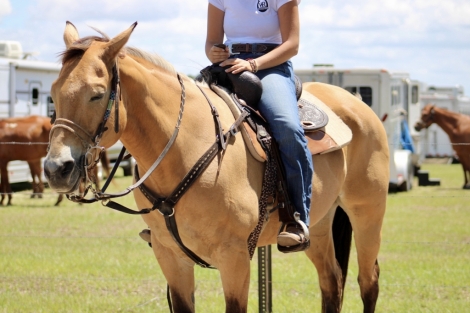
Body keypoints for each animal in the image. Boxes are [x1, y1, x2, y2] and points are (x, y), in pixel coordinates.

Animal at [43, 22, 390, 312]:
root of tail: (356, 102)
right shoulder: (170, 257)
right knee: (332, 281)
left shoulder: (234, 259)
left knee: (368, 280)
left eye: (97, 94)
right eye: (53, 93)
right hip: (318, 222)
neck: (184, 148)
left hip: (366, 212)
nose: (56, 169)